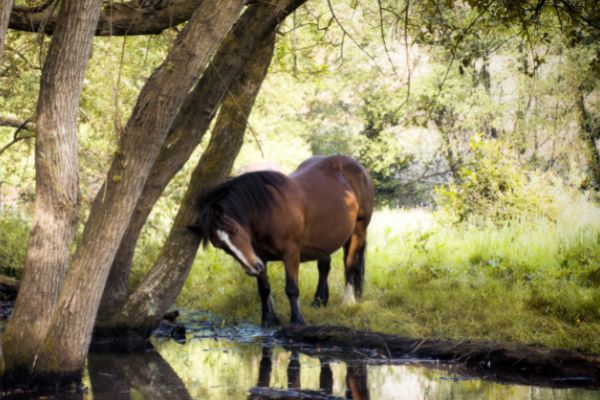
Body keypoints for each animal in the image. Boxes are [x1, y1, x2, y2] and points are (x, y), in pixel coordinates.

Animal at [190, 155, 372, 326]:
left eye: (235, 229)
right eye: (220, 245)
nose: (252, 269)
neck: (268, 211)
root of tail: (358, 169)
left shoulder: (290, 253)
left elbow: (291, 288)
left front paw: (297, 320)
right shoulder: (260, 256)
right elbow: (264, 289)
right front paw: (268, 320)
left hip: (358, 231)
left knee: (349, 264)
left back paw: (348, 302)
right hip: (324, 239)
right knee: (324, 266)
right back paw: (319, 301)